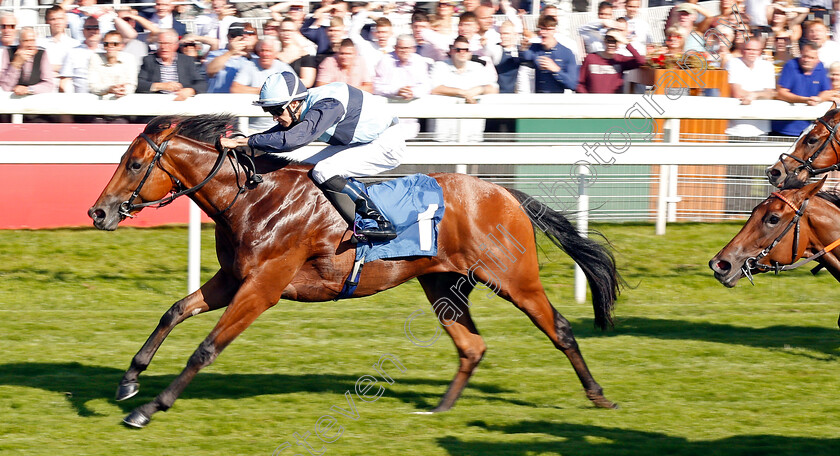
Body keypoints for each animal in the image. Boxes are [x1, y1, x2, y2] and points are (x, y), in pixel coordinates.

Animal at [88, 114, 620, 428]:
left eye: (134, 163)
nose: (98, 213)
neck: (254, 198)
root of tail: (505, 193)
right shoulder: (233, 279)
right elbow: (174, 311)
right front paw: (129, 380)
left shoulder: (262, 287)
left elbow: (206, 348)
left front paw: (149, 408)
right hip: (440, 285)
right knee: (472, 345)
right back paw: (440, 408)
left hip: (514, 279)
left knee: (560, 328)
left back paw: (599, 396)